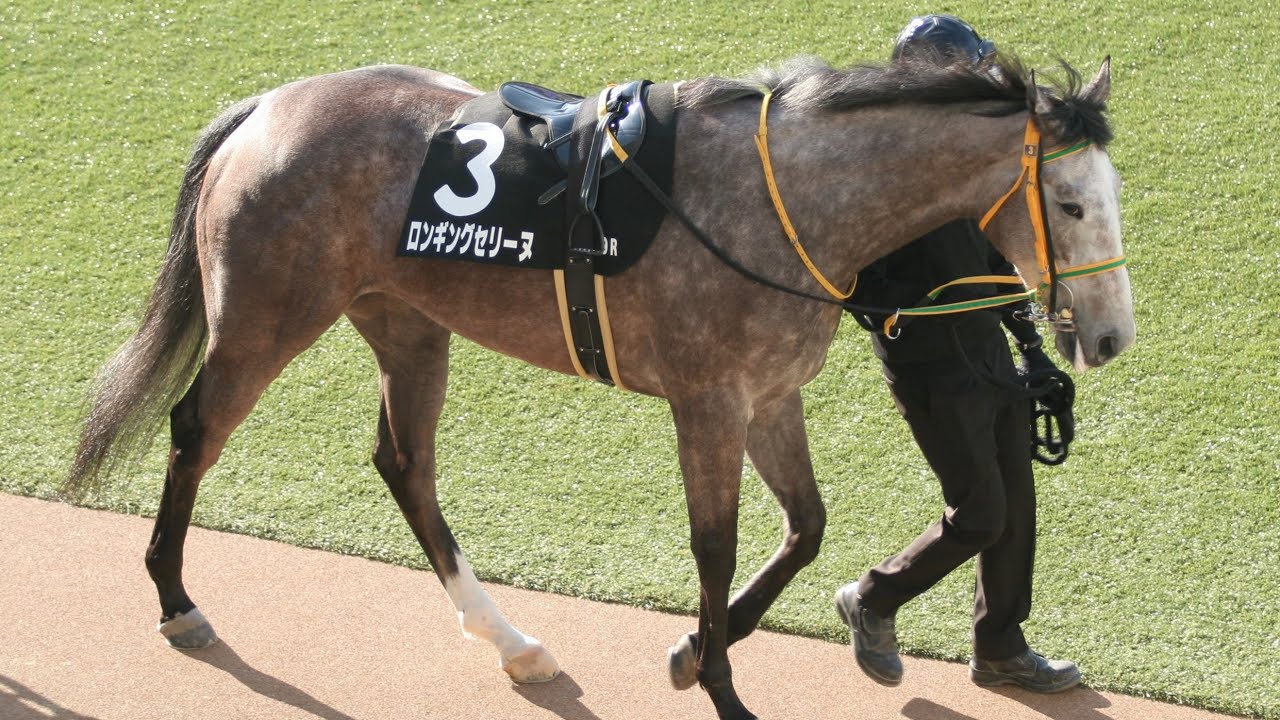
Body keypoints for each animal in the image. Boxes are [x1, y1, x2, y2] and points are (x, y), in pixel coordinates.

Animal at [65, 53, 1133, 720]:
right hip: (267, 317)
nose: (1110, 336)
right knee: (194, 428)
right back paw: (175, 600)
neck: (787, 201)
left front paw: (697, 652)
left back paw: (510, 640)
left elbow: (806, 528)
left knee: (404, 463)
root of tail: (264, 107)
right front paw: (721, 684)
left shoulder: (769, 395)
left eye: (1111, 197)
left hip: (406, 322)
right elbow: (716, 549)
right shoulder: (708, 402)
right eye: (1072, 202)